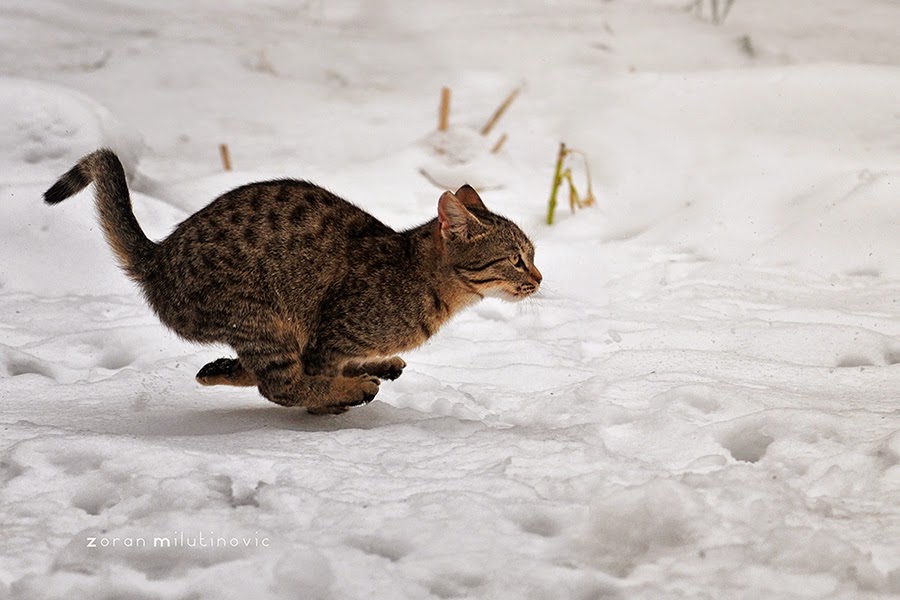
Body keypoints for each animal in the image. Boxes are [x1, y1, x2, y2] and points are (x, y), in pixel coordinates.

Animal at [45, 149, 540, 412]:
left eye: (532, 256)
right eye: (516, 260)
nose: (539, 277)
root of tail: (158, 256)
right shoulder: (332, 329)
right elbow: (314, 374)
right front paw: (339, 393)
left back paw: (220, 369)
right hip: (263, 314)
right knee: (279, 384)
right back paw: (352, 387)